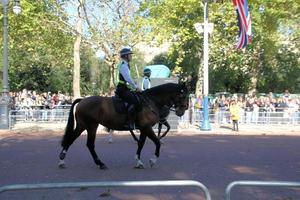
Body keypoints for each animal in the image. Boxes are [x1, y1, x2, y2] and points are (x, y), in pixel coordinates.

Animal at [58, 82, 189, 169]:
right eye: (183, 96)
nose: (183, 110)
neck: (150, 102)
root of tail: (82, 100)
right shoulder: (147, 128)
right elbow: (156, 142)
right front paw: (153, 160)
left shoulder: (144, 129)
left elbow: (141, 144)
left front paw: (138, 161)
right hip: (89, 126)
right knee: (82, 142)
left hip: (86, 126)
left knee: (80, 142)